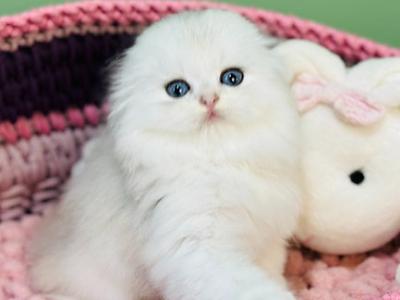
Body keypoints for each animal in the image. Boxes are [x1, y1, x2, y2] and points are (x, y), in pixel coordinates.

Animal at [28, 9, 300, 300]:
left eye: (232, 78)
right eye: (178, 89)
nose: (209, 100)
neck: (217, 158)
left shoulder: (267, 241)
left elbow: (271, 272)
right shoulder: (198, 249)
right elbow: (245, 287)